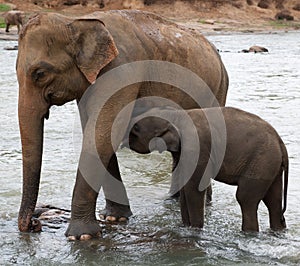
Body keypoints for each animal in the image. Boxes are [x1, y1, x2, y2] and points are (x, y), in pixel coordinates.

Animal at [17, 10, 229, 240]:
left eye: (40, 74)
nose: (34, 224)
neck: (75, 21)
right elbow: (98, 132)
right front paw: (114, 218)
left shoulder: (121, 71)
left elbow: (102, 132)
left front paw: (80, 236)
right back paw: (173, 199)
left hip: (218, 90)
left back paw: (203, 203)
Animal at [128, 107, 288, 232]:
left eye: (136, 128)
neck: (177, 114)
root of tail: (280, 143)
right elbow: (185, 188)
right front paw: (185, 228)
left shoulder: (197, 148)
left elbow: (195, 188)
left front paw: (195, 230)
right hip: (270, 165)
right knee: (273, 201)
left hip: (261, 162)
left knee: (246, 199)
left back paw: (249, 233)